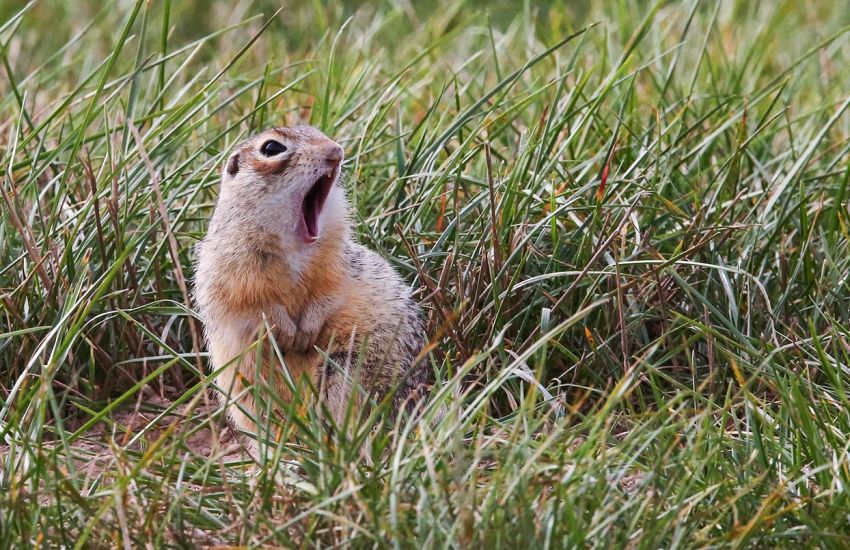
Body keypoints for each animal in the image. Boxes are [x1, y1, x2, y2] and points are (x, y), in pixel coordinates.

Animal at [195, 126, 428, 440]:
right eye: (271, 148)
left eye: (319, 132)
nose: (336, 151)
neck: (294, 243)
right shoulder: (229, 274)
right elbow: (252, 306)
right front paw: (284, 329)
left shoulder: (338, 267)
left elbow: (331, 295)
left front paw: (307, 328)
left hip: (345, 367)